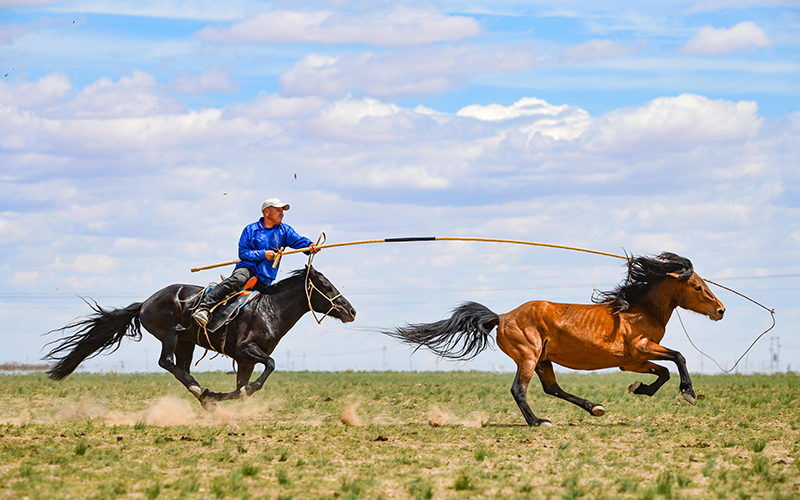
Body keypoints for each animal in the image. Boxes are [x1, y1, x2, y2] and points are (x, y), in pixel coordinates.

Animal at [44, 266, 356, 410]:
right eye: (327, 286)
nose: (351, 311)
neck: (269, 309)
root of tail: (145, 303)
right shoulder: (246, 350)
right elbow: (270, 365)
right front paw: (235, 392)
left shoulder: (244, 360)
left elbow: (242, 385)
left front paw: (226, 395)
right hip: (170, 335)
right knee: (167, 363)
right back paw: (200, 391)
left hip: (187, 343)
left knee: (180, 367)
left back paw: (205, 396)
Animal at [384, 252, 725, 426]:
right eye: (697, 286)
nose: (720, 310)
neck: (638, 310)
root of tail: (502, 316)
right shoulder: (641, 348)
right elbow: (679, 357)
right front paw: (688, 393)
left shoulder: (634, 361)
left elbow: (663, 371)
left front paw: (640, 388)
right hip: (528, 356)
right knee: (519, 390)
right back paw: (538, 422)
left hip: (543, 360)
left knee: (552, 388)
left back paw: (594, 408)